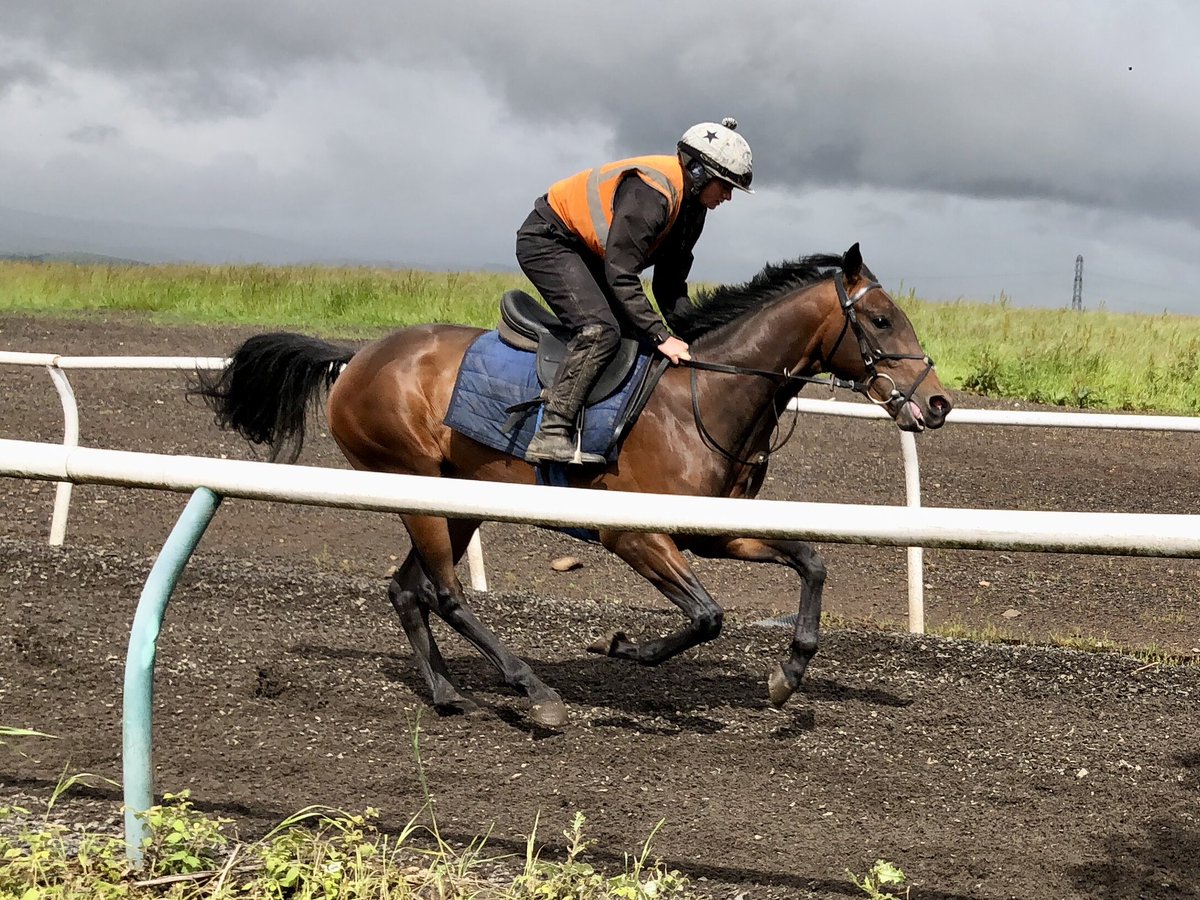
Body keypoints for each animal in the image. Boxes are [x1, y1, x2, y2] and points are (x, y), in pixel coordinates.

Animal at [194, 244, 945, 724]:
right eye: (881, 319)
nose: (937, 404)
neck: (703, 398)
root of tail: (356, 358)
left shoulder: (712, 531)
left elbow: (811, 561)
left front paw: (788, 675)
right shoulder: (631, 534)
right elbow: (707, 615)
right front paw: (625, 648)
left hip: (453, 497)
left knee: (408, 590)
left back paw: (447, 693)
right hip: (415, 485)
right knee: (444, 591)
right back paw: (534, 691)